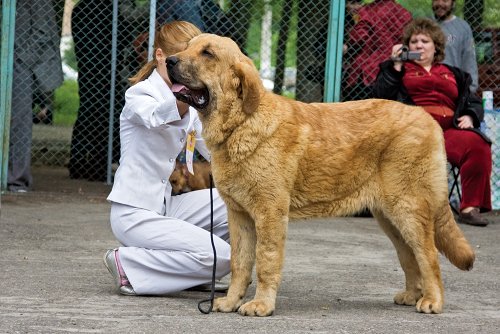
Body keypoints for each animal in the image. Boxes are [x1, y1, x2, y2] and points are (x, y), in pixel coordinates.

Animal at [166, 33, 474, 316]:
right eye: (187, 47)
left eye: (207, 53)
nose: (169, 61)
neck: (240, 123)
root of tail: (428, 119)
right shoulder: (240, 216)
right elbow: (240, 263)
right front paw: (231, 302)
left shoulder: (269, 213)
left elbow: (266, 261)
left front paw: (261, 305)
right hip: (389, 217)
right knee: (409, 256)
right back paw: (412, 295)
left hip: (407, 209)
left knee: (428, 254)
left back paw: (432, 301)